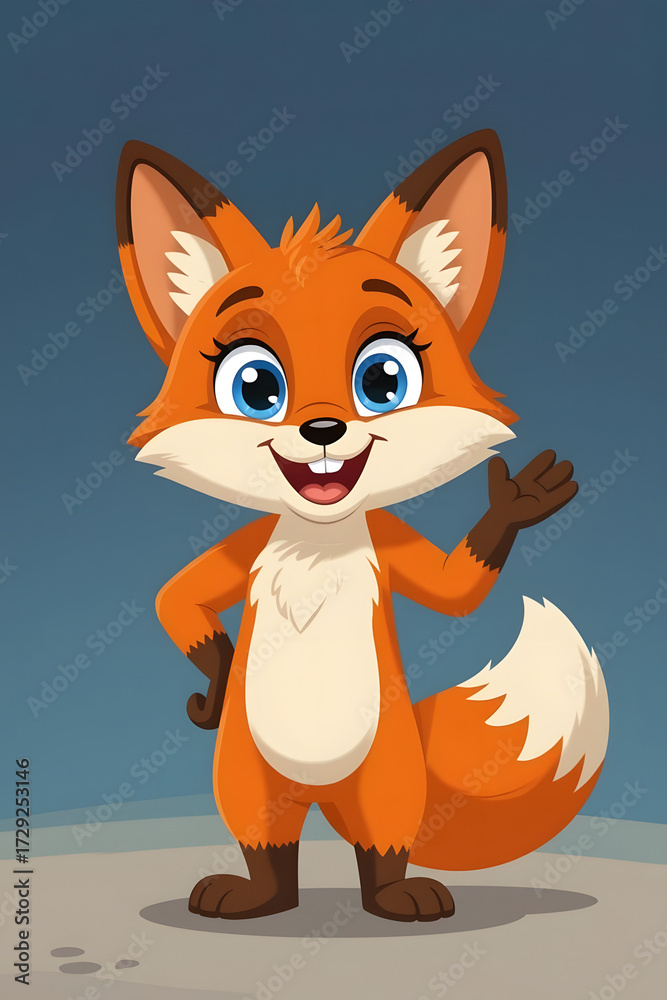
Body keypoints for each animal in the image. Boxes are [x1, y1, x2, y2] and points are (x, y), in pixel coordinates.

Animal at [115, 129, 609, 923]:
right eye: (255, 386)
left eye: (383, 379)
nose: (323, 429)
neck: (319, 535)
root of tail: (323, 797)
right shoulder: (246, 549)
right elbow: (176, 596)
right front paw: (218, 674)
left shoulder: (388, 544)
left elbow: (454, 592)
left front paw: (516, 501)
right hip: (247, 775)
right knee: (266, 843)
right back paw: (255, 894)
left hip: (388, 776)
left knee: (383, 843)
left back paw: (397, 895)